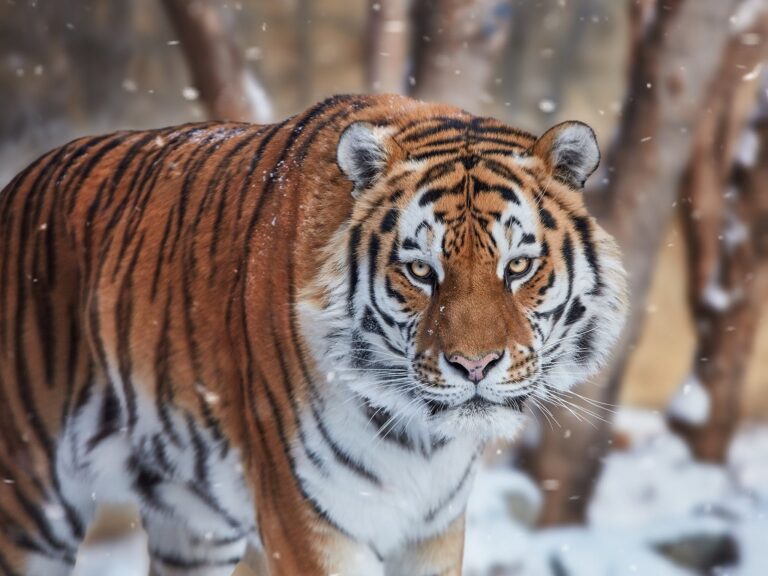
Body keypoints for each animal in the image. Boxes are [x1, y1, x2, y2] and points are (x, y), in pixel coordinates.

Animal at [0, 93, 627, 576]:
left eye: (517, 267)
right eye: (421, 271)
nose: (474, 367)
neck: (423, 441)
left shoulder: (434, 530)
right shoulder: (305, 519)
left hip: (191, 524)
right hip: (30, 500)